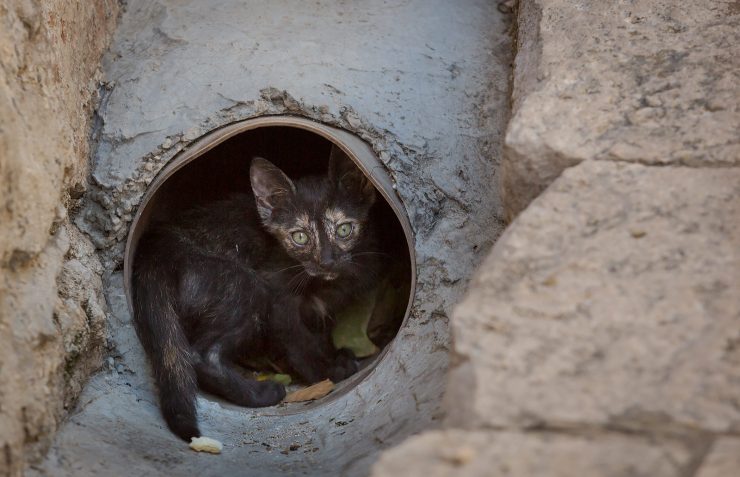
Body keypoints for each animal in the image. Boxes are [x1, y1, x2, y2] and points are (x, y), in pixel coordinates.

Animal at [133, 148, 384, 438]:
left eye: (344, 229)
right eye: (300, 237)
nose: (327, 262)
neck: (323, 283)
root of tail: (156, 251)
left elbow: (319, 336)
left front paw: (332, 355)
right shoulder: (277, 295)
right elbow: (298, 341)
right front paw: (327, 372)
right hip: (247, 285)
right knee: (202, 355)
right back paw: (262, 393)